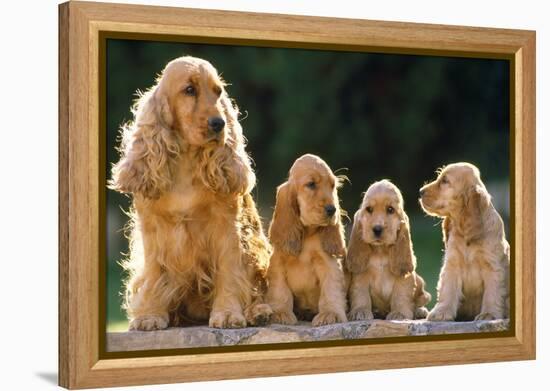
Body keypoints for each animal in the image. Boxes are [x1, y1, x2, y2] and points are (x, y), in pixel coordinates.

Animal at [109, 56, 272, 330]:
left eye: (218, 92)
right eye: (189, 90)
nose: (219, 124)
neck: (185, 161)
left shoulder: (226, 226)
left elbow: (229, 271)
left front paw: (227, 314)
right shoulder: (152, 229)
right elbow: (154, 274)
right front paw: (150, 315)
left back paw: (258, 312)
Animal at [268, 155, 350, 326]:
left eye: (333, 185)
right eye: (311, 184)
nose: (332, 210)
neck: (307, 232)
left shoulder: (328, 263)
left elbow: (330, 290)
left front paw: (330, 314)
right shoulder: (278, 262)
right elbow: (280, 290)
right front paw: (280, 313)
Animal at [348, 181, 434, 322]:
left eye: (390, 209)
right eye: (369, 209)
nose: (377, 229)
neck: (380, 251)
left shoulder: (404, 277)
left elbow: (400, 295)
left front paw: (399, 314)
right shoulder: (361, 275)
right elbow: (360, 293)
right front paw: (360, 311)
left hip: (421, 285)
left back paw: (419, 311)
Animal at [422, 162, 512, 322]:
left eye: (445, 181)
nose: (420, 192)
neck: (464, 232)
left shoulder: (493, 267)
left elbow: (492, 293)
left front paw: (488, 314)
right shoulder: (452, 265)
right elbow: (448, 290)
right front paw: (441, 312)